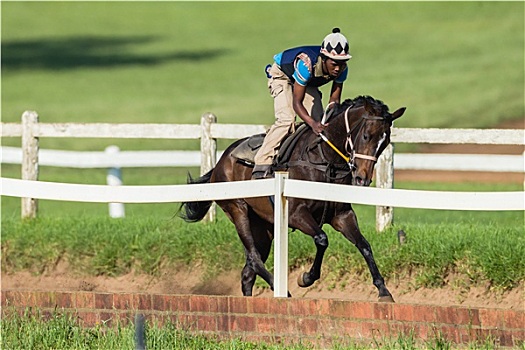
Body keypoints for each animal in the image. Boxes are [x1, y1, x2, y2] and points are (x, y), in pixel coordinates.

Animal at [179, 95, 406, 300]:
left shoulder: (342, 215)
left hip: (263, 227)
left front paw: (383, 291)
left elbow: (364, 245)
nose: (362, 178)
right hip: (238, 210)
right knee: (253, 258)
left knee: (248, 272)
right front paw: (306, 277)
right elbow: (322, 239)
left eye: (385, 142)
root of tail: (219, 163)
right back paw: (284, 292)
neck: (324, 158)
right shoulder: (296, 214)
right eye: (367, 135)